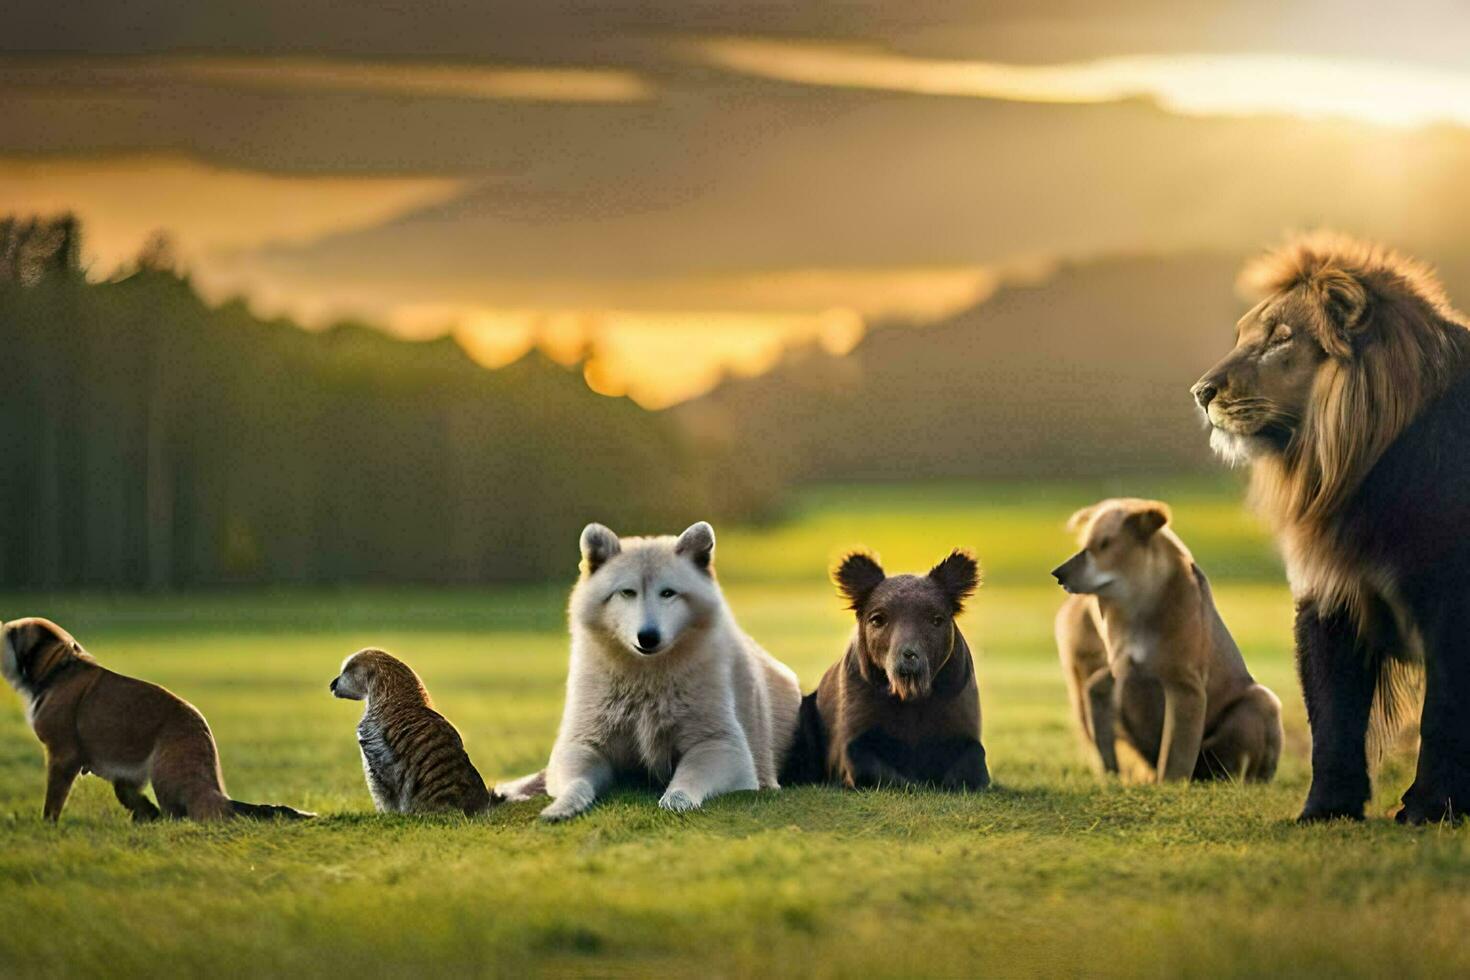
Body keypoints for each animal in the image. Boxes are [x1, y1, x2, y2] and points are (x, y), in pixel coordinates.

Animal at [0, 617, 310, 822]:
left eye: (11, 634)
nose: (1, 626)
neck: (58, 670)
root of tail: (216, 793)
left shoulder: (62, 757)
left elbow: (53, 801)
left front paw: (47, 826)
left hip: (166, 773)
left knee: (183, 813)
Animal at [496, 520, 799, 822]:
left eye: (668, 593)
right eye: (627, 592)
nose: (648, 637)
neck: (645, 680)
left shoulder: (721, 746)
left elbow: (687, 778)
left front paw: (676, 800)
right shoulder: (583, 744)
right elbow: (577, 783)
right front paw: (562, 806)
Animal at [782, 552, 987, 787]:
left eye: (936, 619)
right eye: (878, 619)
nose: (909, 655)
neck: (911, 696)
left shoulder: (958, 715)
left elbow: (972, 765)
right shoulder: (855, 728)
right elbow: (864, 764)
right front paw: (914, 782)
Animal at [1052, 502, 1281, 787]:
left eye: (1104, 544)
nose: (1058, 574)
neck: (1137, 608)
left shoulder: (1184, 686)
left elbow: (1176, 750)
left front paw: (1169, 783)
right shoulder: (1114, 675)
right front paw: (1114, 776)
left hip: (1261, 701)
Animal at [1187, 233, 1470, 822]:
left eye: (1280, 339)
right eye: (1244, 336)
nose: (1200, 392)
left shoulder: (1453, 600)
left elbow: (1444, 714)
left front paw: (1429, 808)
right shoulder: (1331, 588)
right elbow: (1332, 713)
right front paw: (1324, 809)